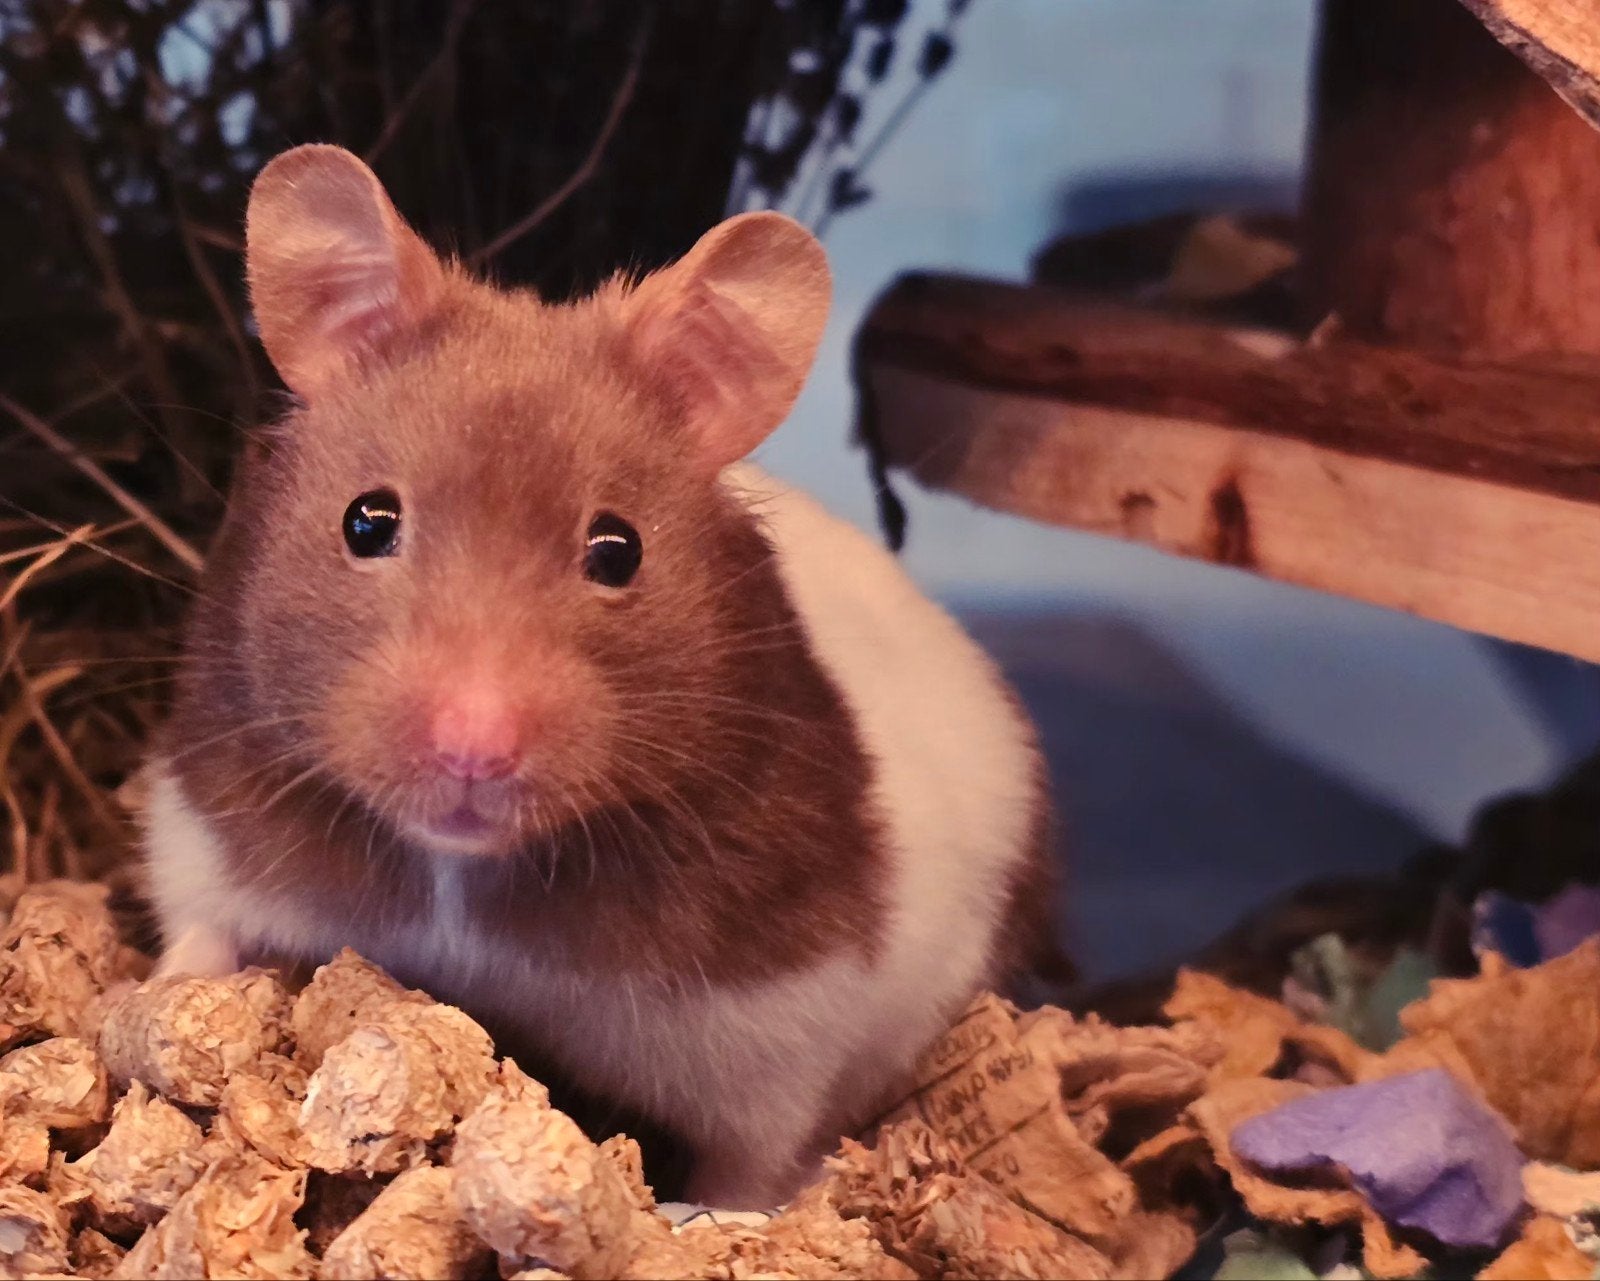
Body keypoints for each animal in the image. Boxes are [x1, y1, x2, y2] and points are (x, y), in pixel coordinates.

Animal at [141, 143, 1056, 1208]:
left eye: (618, 551)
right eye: (366, 521)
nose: (472, 751)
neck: (459, 872)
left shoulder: (788, 1023)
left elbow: (752, 1162)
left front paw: (722, 1217)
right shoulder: (203, 821)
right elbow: (200, 933)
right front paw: (155, 1001)